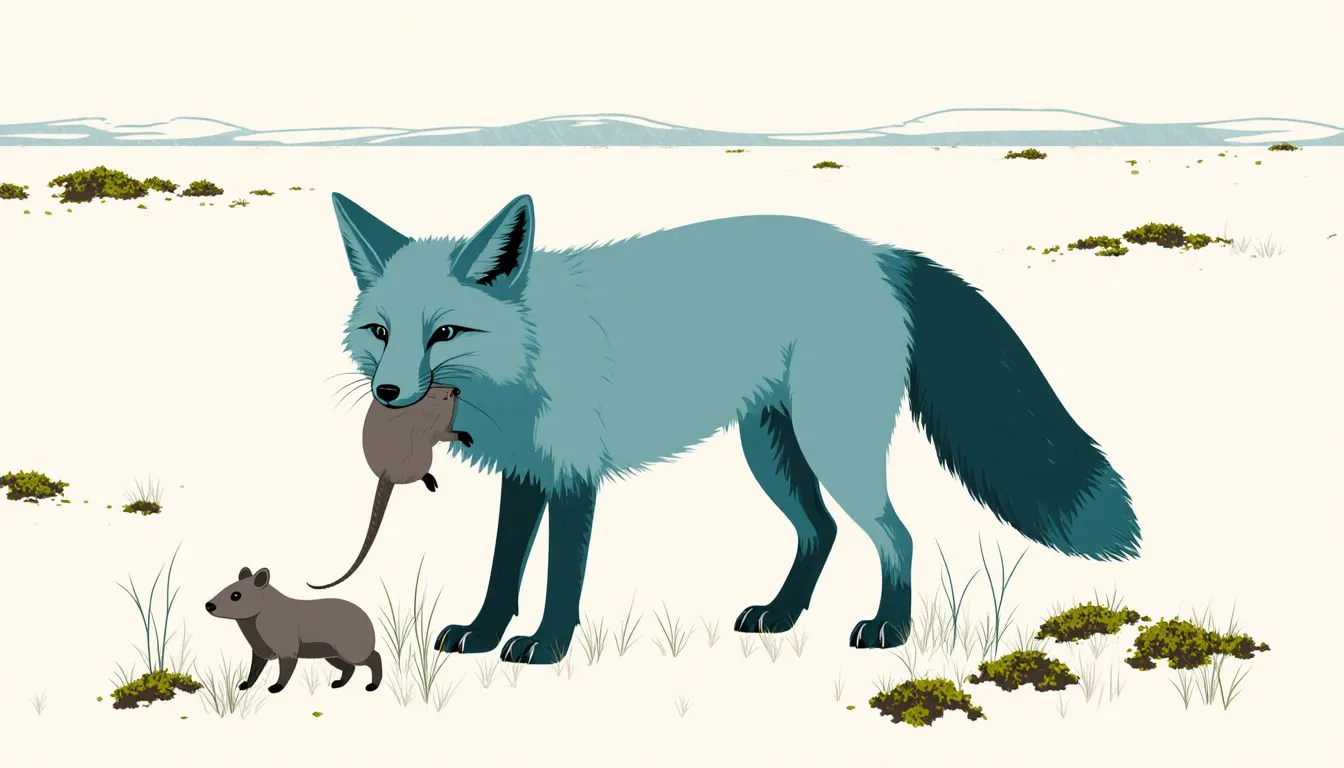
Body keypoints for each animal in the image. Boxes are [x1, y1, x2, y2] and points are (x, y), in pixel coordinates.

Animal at [330, 191, 1139, 666]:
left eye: (445, 333)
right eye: (380, 332)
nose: (389, 392)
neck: (529, 351)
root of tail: (880, 252)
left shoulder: (574, 476)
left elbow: (562, 577)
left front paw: (546, 645)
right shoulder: (527, 474)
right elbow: (504, 568)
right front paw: (483, 633)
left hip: (833, 448)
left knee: (896, 535)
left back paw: (889, 630)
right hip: (772, 450)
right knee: (823, 531)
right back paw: (781, 615)